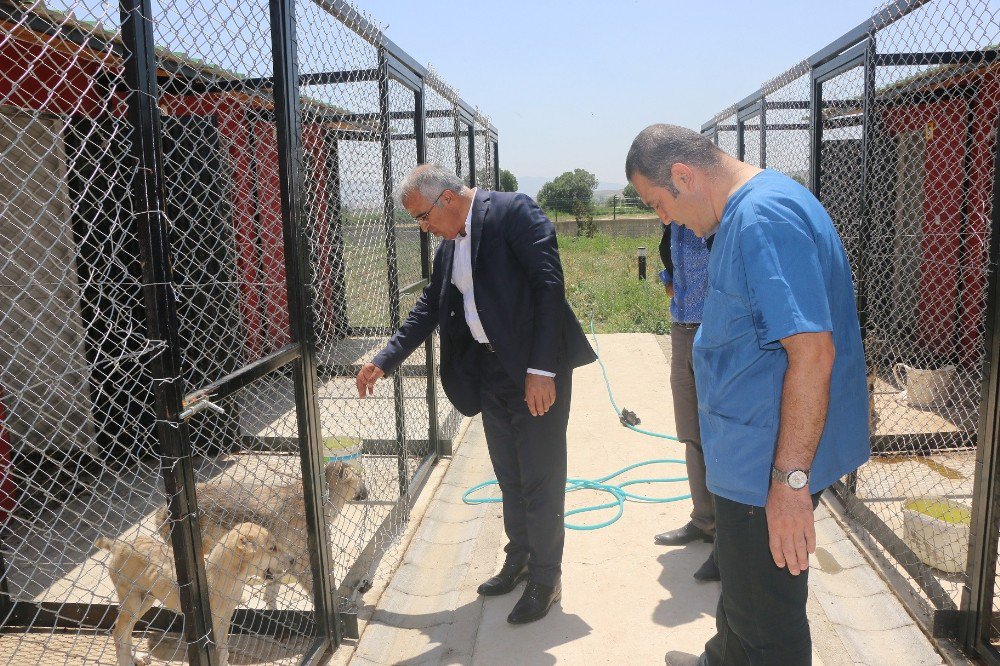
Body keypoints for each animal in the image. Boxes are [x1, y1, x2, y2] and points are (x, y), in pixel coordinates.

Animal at [96, 520, 292, 664]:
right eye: (272, 548)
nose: (293, 560)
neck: (231, 579)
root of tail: (118, 544)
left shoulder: (224, 620)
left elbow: (224, 652)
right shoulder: (211, 626)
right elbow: (218, 653)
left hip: (145, 601)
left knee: (125, 633)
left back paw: (135, 658)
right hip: (133, 603)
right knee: (118, 633)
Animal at [158, 462, 370, 608]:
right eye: (360, 476)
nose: (368, 490)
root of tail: (162, 511)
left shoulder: (281, 561)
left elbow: (270, 594)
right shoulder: (300, 561)